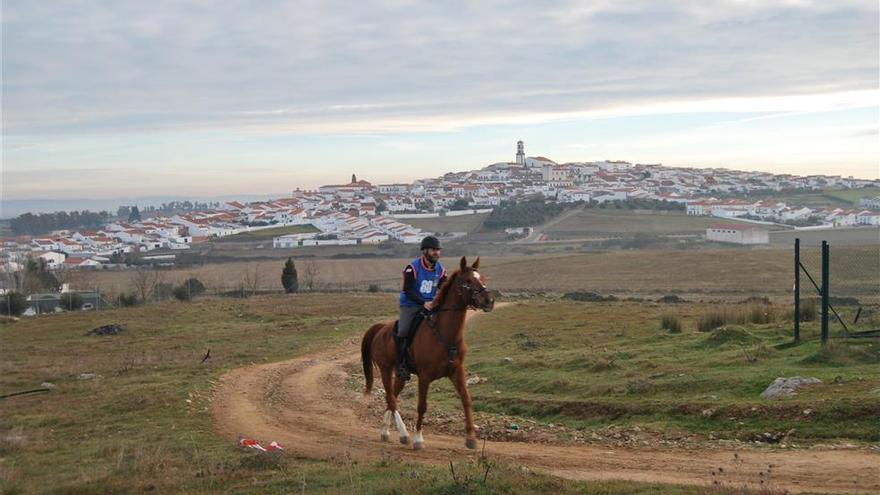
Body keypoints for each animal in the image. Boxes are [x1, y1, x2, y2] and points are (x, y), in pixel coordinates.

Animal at [360, 258, 496, 452]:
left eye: (482, 278)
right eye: (468, 281)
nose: (488, 301)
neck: (445, 334)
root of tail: (380, 329)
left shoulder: (457, 372)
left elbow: (467, 400)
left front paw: (471, 438)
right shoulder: (424, 377)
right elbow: (422, 406)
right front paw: (418, 438)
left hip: (401, 374)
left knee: (392, 396)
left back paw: (385, 432)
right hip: (385, 369)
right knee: (391, 399)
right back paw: (404, 434)